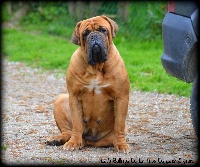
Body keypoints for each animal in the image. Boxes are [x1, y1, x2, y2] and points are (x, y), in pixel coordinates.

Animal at [46, 15, 131, 153]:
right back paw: (59, 139)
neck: (96, 68)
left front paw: (121, 144)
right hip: (60, 100)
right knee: (68, 131)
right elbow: (77, 124)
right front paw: (73, 142)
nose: (94, 36)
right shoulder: (74, 97)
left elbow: (119, 125)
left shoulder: (121, 97)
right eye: (85, 34)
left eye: (103, 30)